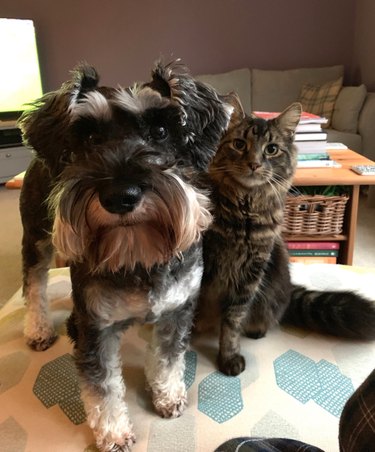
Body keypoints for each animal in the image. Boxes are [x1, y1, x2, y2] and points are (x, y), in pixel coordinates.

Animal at [19, 61, 232, 452]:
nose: (121, 196)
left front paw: (168, 395)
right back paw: (39, 329)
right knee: (34, 282)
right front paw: (114, 432)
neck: (137, 255)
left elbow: (167, 356)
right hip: (37, 239)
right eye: (89, 139)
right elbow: (102, 387)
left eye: (161, 131)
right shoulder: (95, 327)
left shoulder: (179, 309)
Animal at [197, 97, 375, 376]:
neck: (244, 212)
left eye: (271, 149)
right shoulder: (207, 260)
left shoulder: (252, 271)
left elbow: (232, 322)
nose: (254, 164)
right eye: (239, 144)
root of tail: (290, 291)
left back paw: (256, 330)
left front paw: (228, 355)